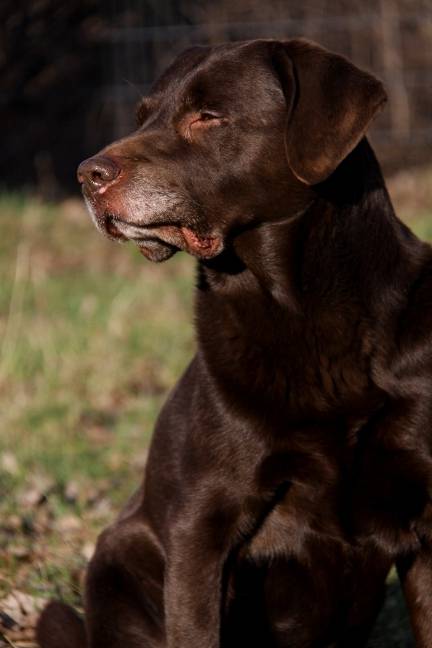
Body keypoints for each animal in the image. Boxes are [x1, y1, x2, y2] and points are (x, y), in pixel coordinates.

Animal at [36, 38, 432, 644]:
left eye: (208, 116)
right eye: (143, 117)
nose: (87, 175)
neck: (304, 314)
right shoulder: (201, 529)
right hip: (118, 557)